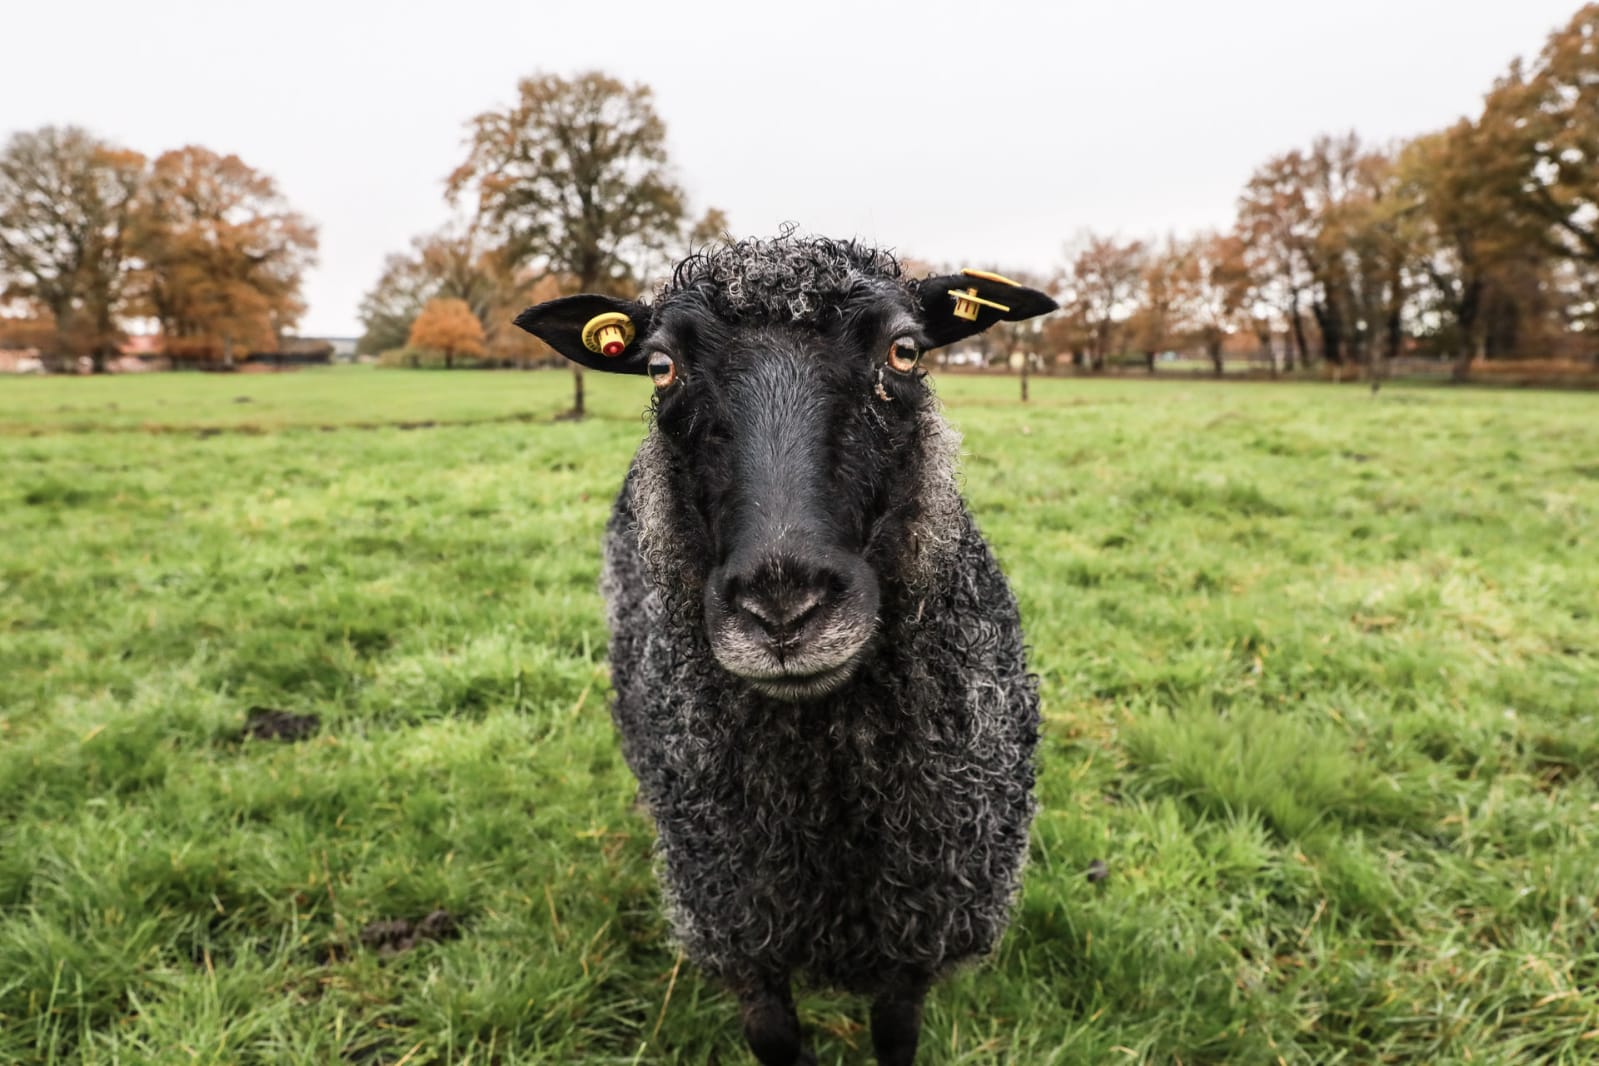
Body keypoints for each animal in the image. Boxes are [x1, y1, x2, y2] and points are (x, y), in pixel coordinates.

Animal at [515, 234, 1056, 1066]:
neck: (823, 782)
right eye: (660, 366)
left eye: (903, 351)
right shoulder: (739, 931)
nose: (782, 605)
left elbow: (895, 1036)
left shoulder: (920, 934)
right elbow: (773, 1037)